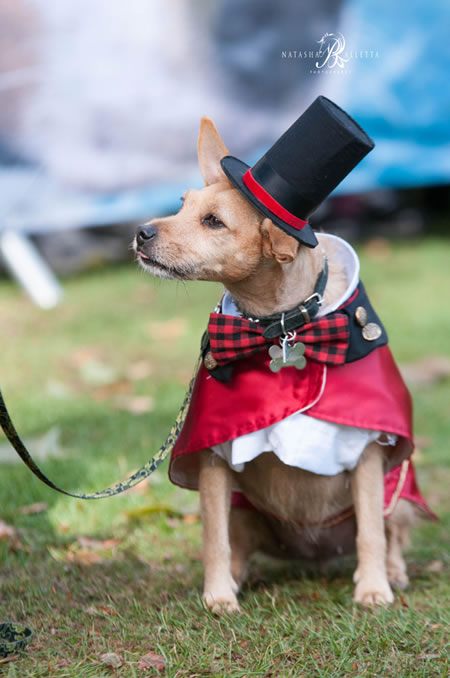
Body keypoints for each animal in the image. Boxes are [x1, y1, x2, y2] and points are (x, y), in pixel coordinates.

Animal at [134, 114, 432, 612]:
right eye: (181, 205)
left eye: (213, 222)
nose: (141, 232)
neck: (280, 327)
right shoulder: (213, 459)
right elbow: (214, 541)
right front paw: (218, 595)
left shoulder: (369, 454)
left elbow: (372, 532)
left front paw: (373, 588)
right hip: (245, 511)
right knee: (236, 544)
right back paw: (238, 577)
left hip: (402, 494)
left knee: (391, 533)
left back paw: (392, 573)